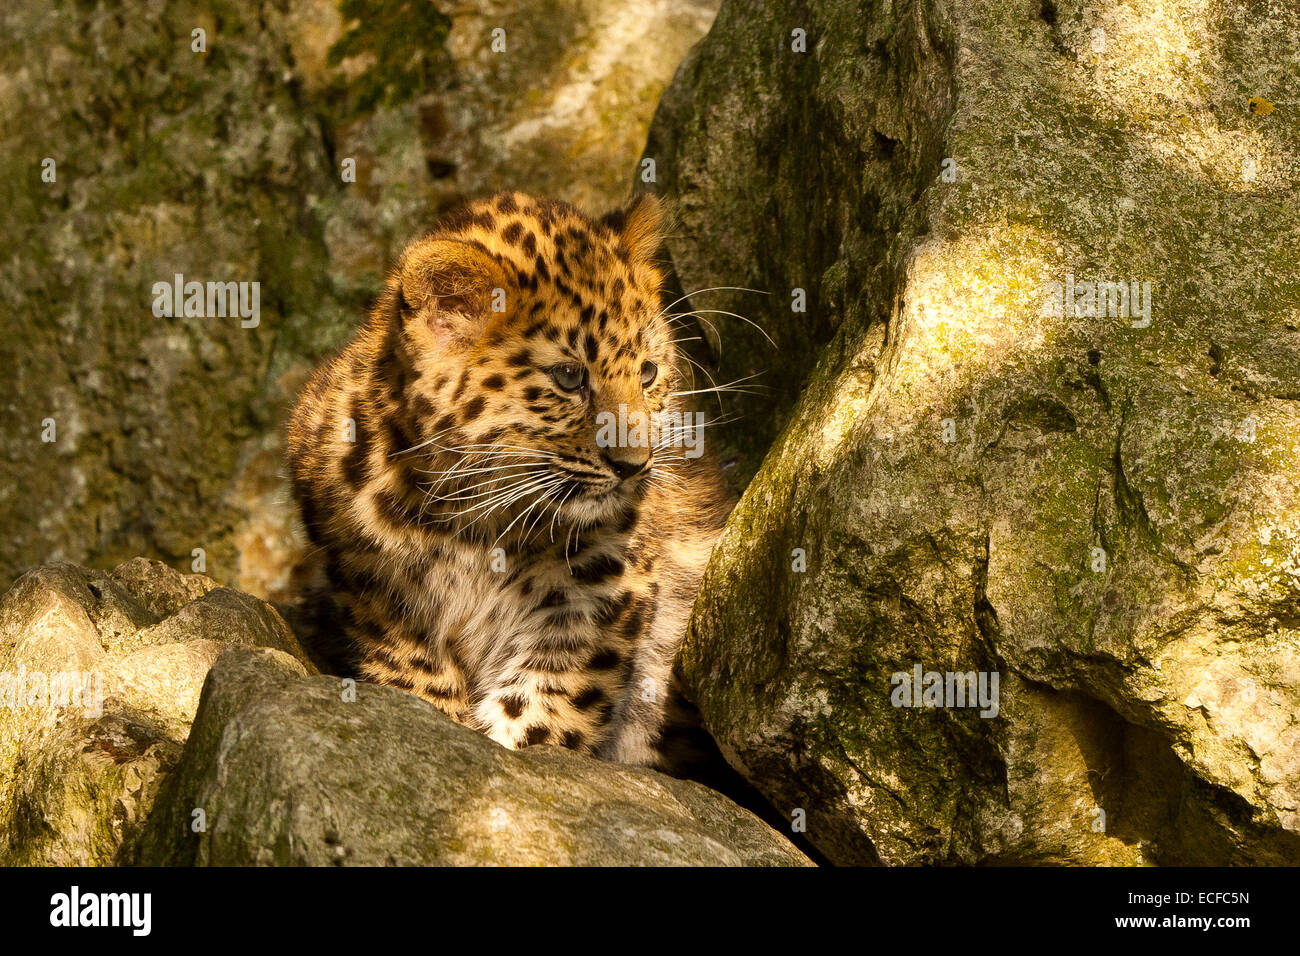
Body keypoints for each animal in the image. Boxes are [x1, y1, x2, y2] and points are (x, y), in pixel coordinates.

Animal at [286, 191, 733, 769]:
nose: (635, 466)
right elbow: (415, 676)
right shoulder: (376, 591)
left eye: (649, 373)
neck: (469, 515)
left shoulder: (596, 601)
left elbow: (544, 713)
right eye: (569, 377)